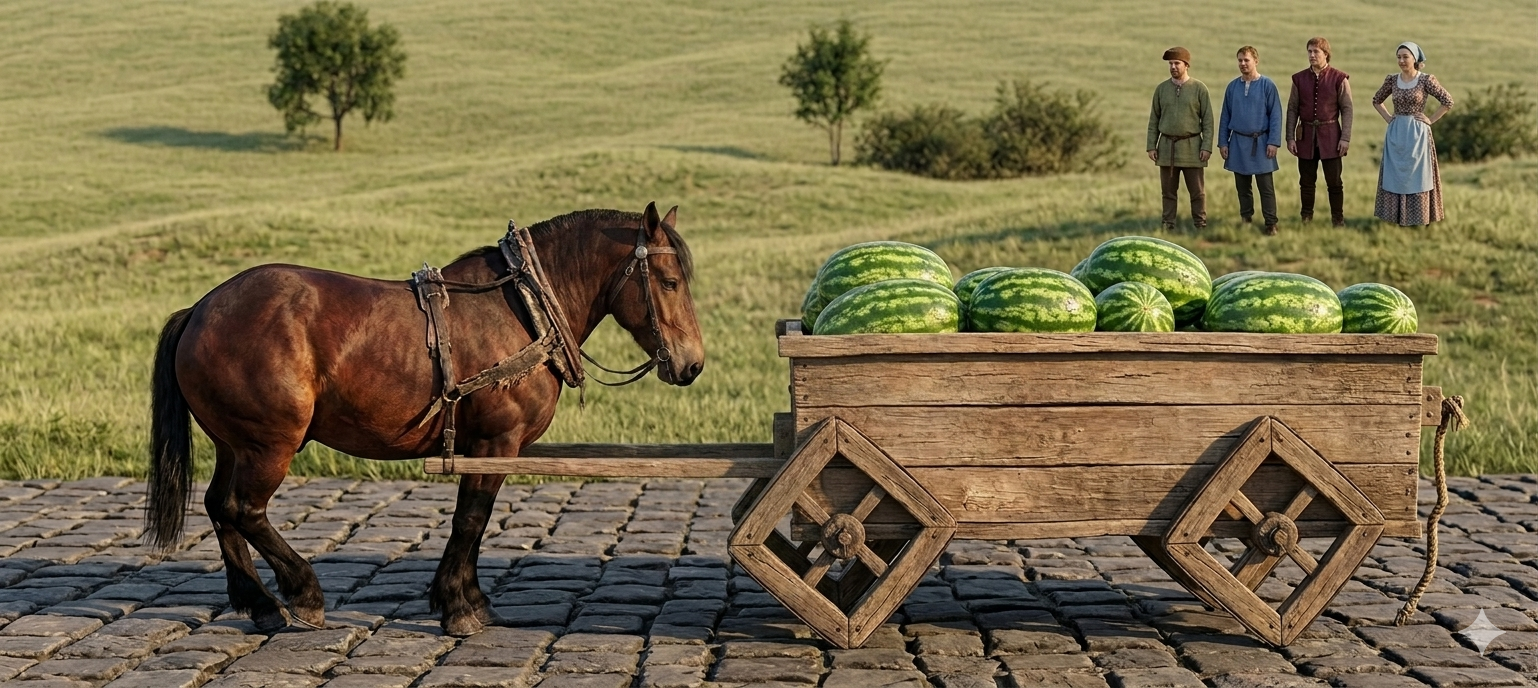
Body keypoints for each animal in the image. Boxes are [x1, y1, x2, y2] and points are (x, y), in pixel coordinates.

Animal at [146, 202, 704, 636]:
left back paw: (258, 603)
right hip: (270, 445)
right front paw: (459, 606)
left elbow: (473, 521)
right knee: (244, 509)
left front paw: (467, 598)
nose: (692, 364)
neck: (524, 307)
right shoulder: (495, 443)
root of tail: (200, 309)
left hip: (234, 444)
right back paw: (302, 592)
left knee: (219, 507)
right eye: (669, 281)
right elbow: (471, 519)